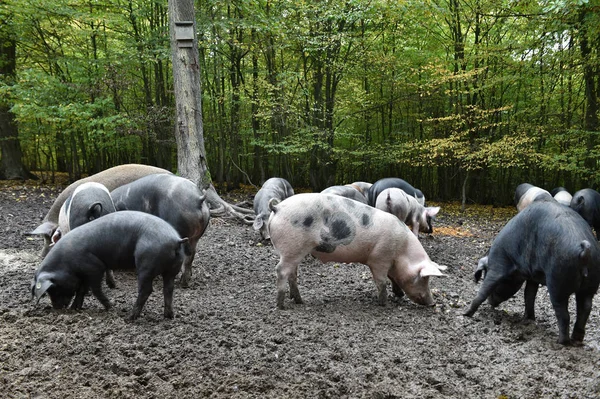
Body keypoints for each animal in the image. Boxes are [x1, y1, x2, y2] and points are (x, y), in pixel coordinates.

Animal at [268, 194, 446, 310]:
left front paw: (399, 294)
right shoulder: (379, 258)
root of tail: (277, 207)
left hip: (294, 251)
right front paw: (384, 303)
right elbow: (382, 281)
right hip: (293, 248)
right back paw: (281, 305)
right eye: (424, 278)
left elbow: (392, 278)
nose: (432, 303)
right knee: (280, 270)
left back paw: (299, 300)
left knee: (292, 273)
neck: (402, 251)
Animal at [464, 200, 600, 346]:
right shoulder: (532, 276)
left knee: (564, 314)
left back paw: (561, 342)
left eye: (484, 275)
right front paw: (528, 319)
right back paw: (577, 339)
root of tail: (584, 251)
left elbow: (485, 289)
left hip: (557, 282)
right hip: (590, 283)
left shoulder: (498, 265)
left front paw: (465, 314)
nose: (491, 304)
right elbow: (529, 294)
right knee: (585, 308)